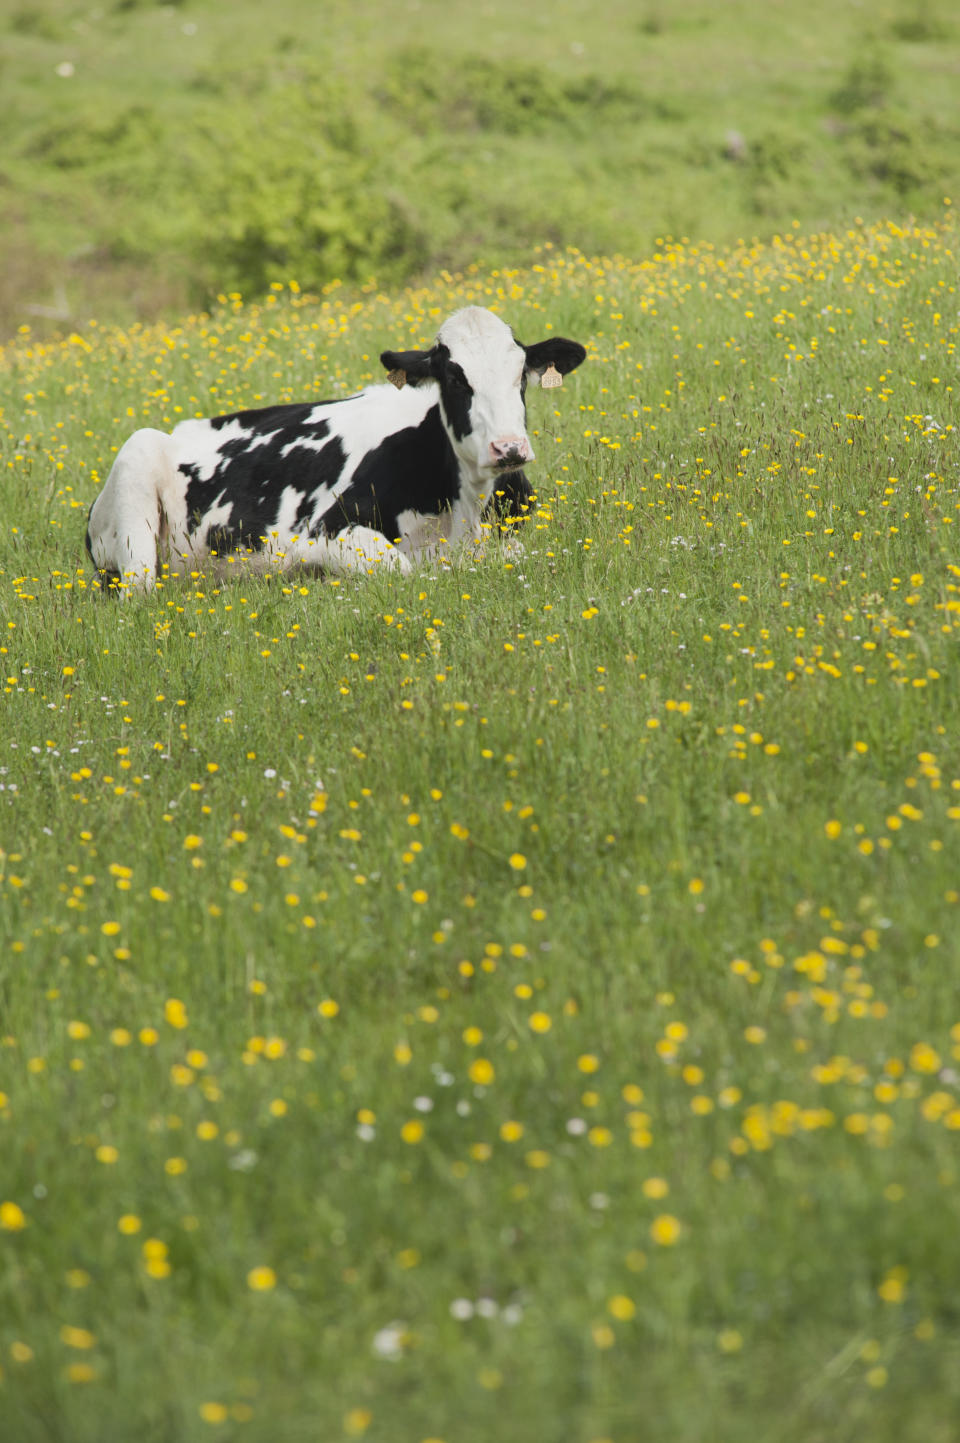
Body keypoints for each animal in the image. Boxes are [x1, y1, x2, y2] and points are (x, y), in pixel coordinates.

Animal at [88, 307, 583, 588]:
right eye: (455, 378)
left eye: (521, 376)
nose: (509, 448)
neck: (465, 510)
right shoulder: (321, 533)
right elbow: (403, 569)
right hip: (136, 484)